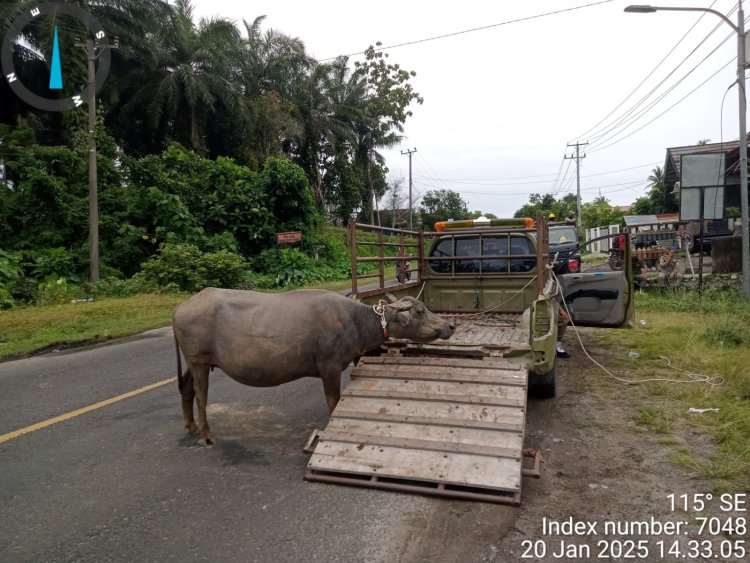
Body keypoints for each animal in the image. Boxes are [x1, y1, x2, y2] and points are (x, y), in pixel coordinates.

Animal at [174, 290, 456, 446]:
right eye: (419, 310)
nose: (450, 326)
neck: (355, 321)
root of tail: (179, 309)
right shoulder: (329, 369)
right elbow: (333, 401)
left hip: (193, 363)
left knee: (187, 388)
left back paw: (190, 424)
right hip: (199, 361)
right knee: (201, 395)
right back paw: (206, 434)